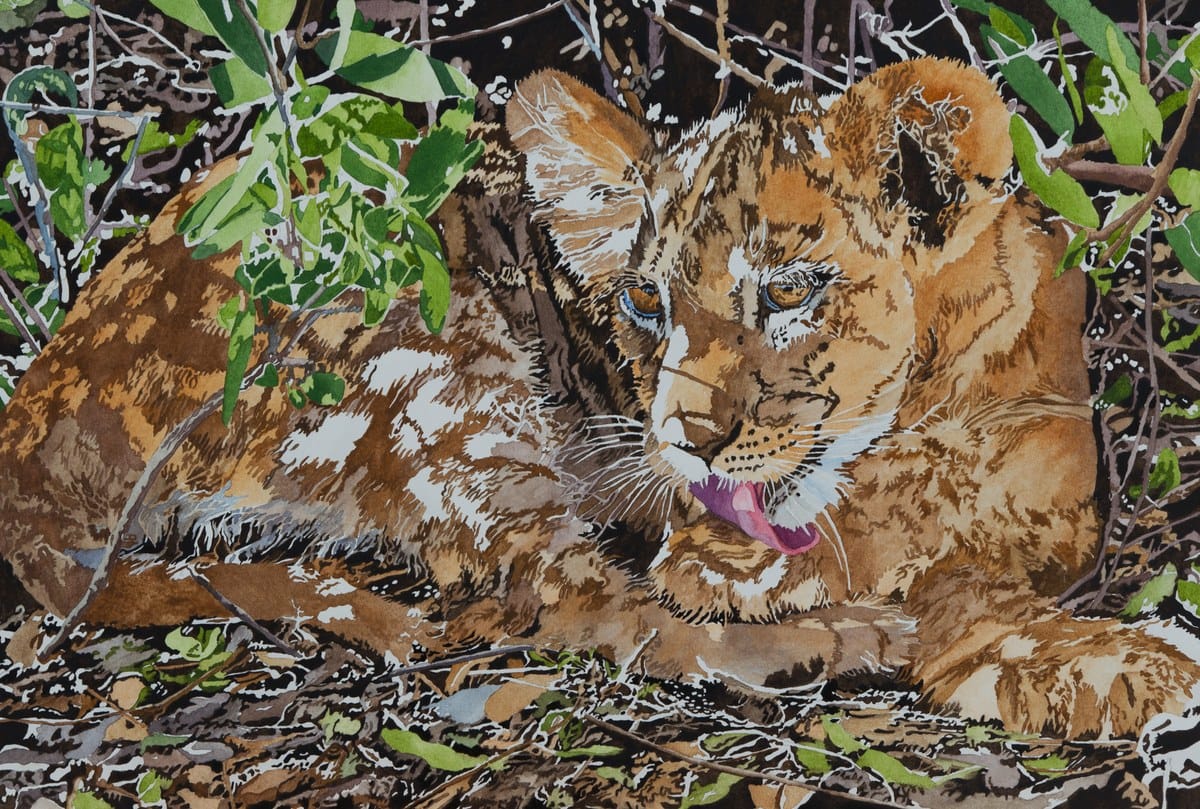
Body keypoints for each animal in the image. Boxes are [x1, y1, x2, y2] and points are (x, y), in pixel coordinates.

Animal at [0, 58, 1195, 738]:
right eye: (646, 302)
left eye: (791, 291)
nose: (684, 439)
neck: (937, 401)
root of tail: (34, 406)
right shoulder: (716, 545)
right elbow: (826, 568)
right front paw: (1120, 663)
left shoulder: (1052, 511)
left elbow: (982, 573)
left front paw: (1089, 658)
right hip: (439, 359)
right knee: (580, 610)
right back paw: (849, 641)